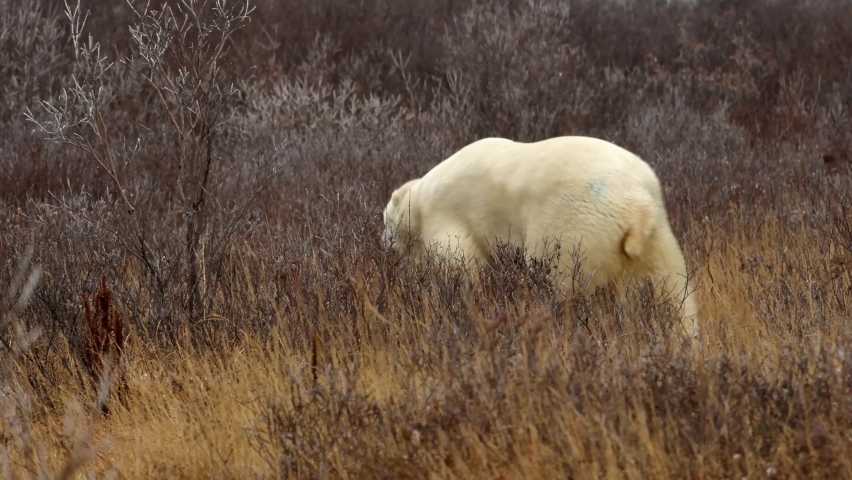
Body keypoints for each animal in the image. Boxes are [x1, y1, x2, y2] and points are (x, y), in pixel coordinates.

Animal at [382, 136, 699, 340]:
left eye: (385, 220)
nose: (383, 242)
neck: (419, 199)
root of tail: (636, 208)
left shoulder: (446, 216)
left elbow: (459, 267)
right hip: (658, 229)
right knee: (673, 290)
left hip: (571, 226)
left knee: (563, 284)